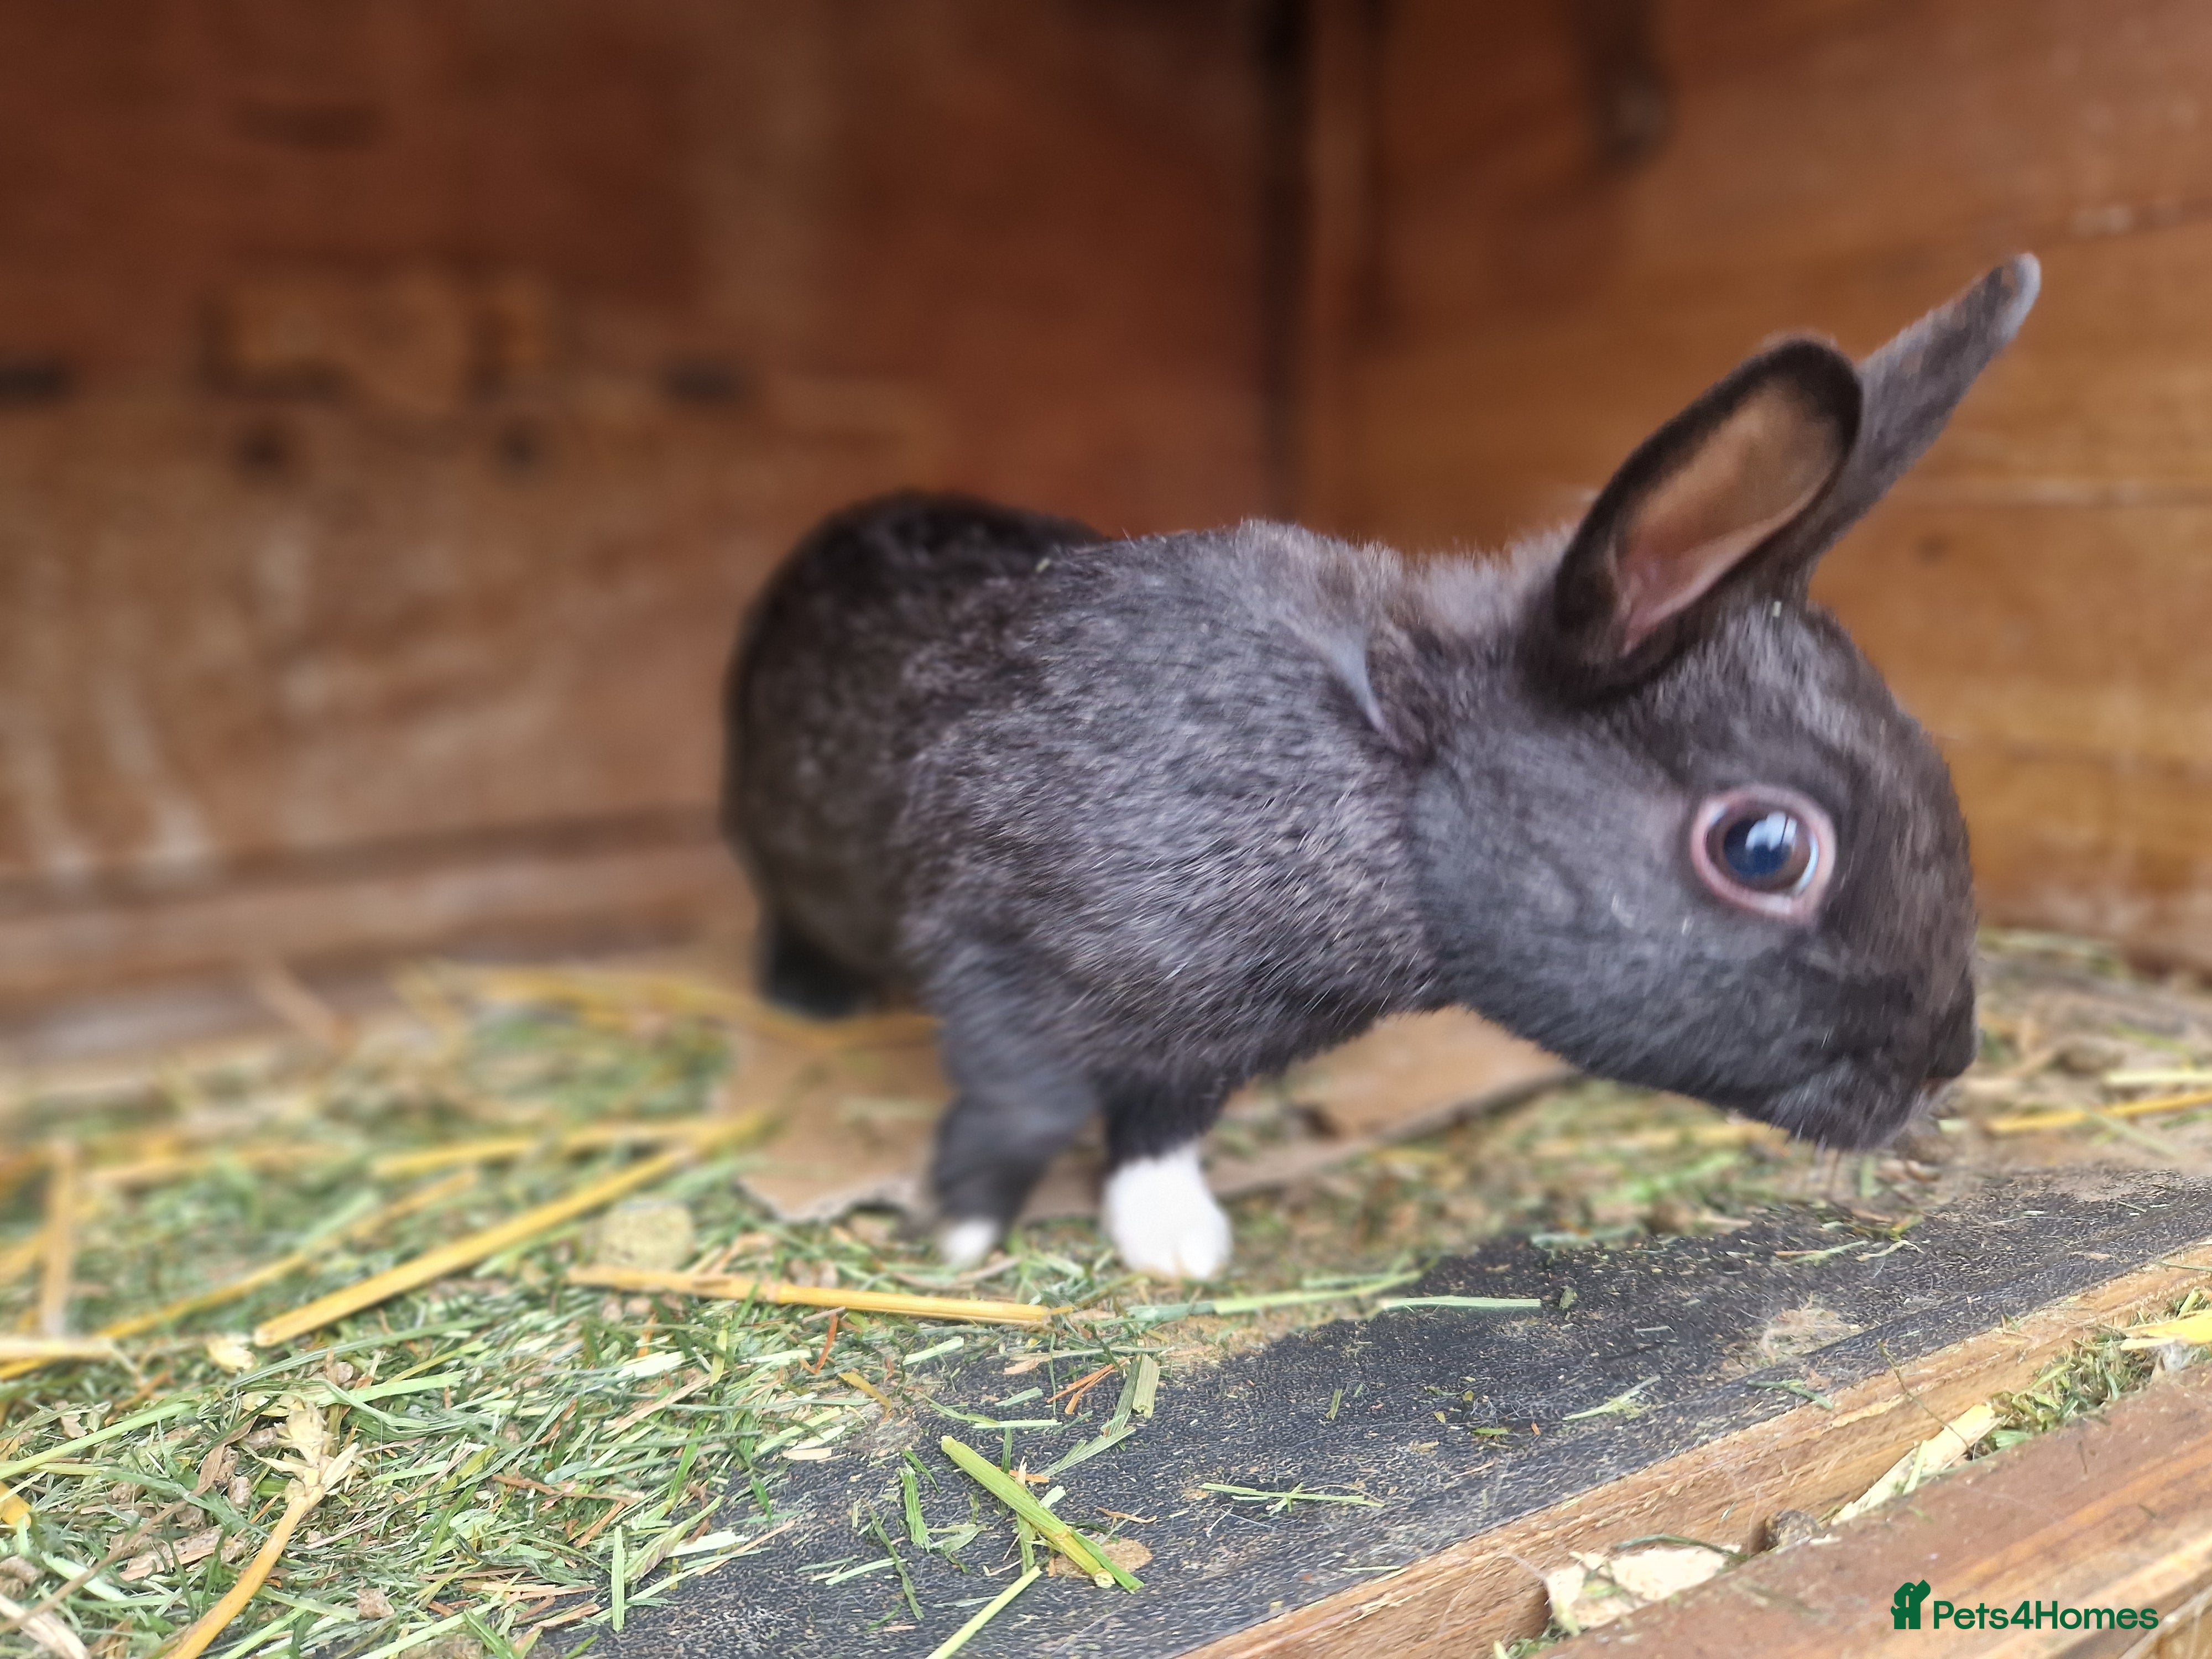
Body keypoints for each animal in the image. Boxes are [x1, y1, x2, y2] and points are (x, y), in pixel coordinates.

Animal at [724, 256, 2038, 1279]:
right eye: (1764, 850)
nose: (1946, 1065)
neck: (1386, 775)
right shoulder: (994, 941)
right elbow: (1028, 1096)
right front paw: (957, 1229)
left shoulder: (1204, 1044)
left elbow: (1159, 1122)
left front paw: (1176, 1240)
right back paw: (805, 996)